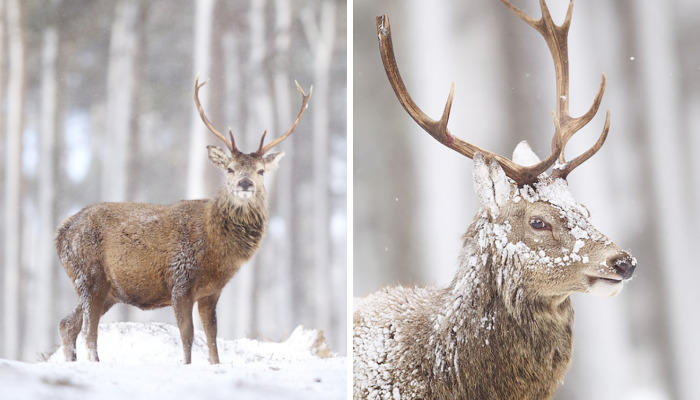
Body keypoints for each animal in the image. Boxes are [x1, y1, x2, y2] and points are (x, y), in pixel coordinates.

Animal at [55, 76, 311, 364]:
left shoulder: (211, 291)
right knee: (89, 329)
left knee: (67, 324)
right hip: (89, 274)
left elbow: (212, 337)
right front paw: (187, 365)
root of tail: (61, 234)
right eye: (230, 169)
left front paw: (214, 364)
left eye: (261, 171)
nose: (245, 183)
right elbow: (187, 335)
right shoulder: (180, 281)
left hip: (105, 289)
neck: (216, 251)